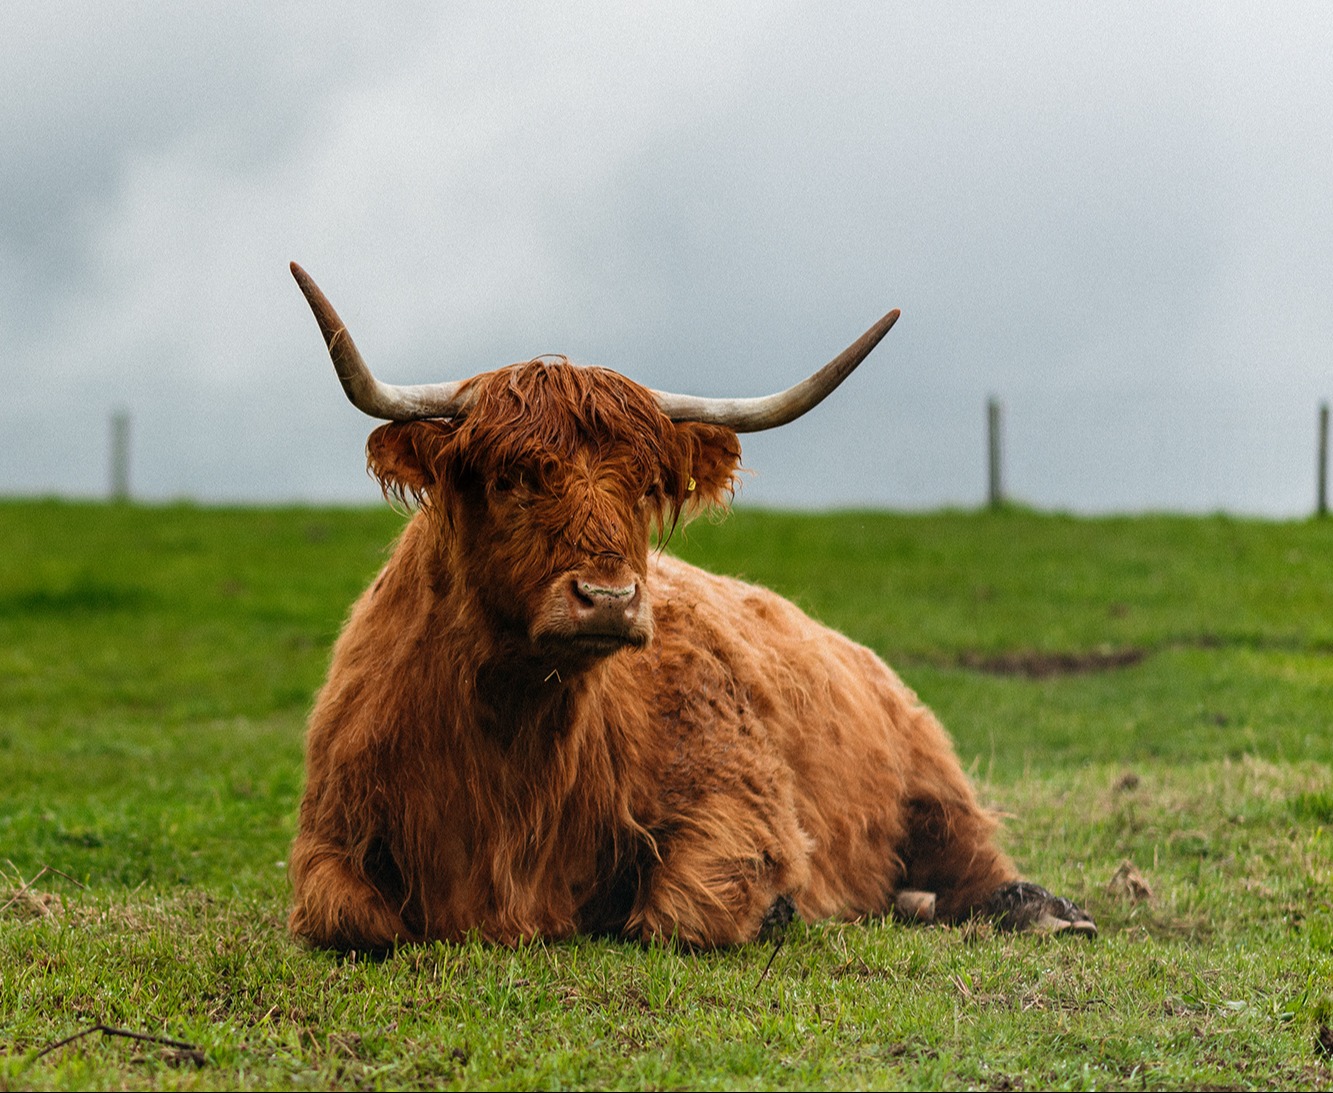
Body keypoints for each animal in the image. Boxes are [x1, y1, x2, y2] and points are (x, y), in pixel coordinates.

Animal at [286, 262, 1096, 951]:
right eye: (509, 478)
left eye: (646, 486)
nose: (608, 599)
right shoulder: (326, 840)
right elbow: (350, 919)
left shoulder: (743, 800)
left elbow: (680, 912)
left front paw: (776, 909)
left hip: (932, 783)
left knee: (974, 862)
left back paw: (1043, 912)